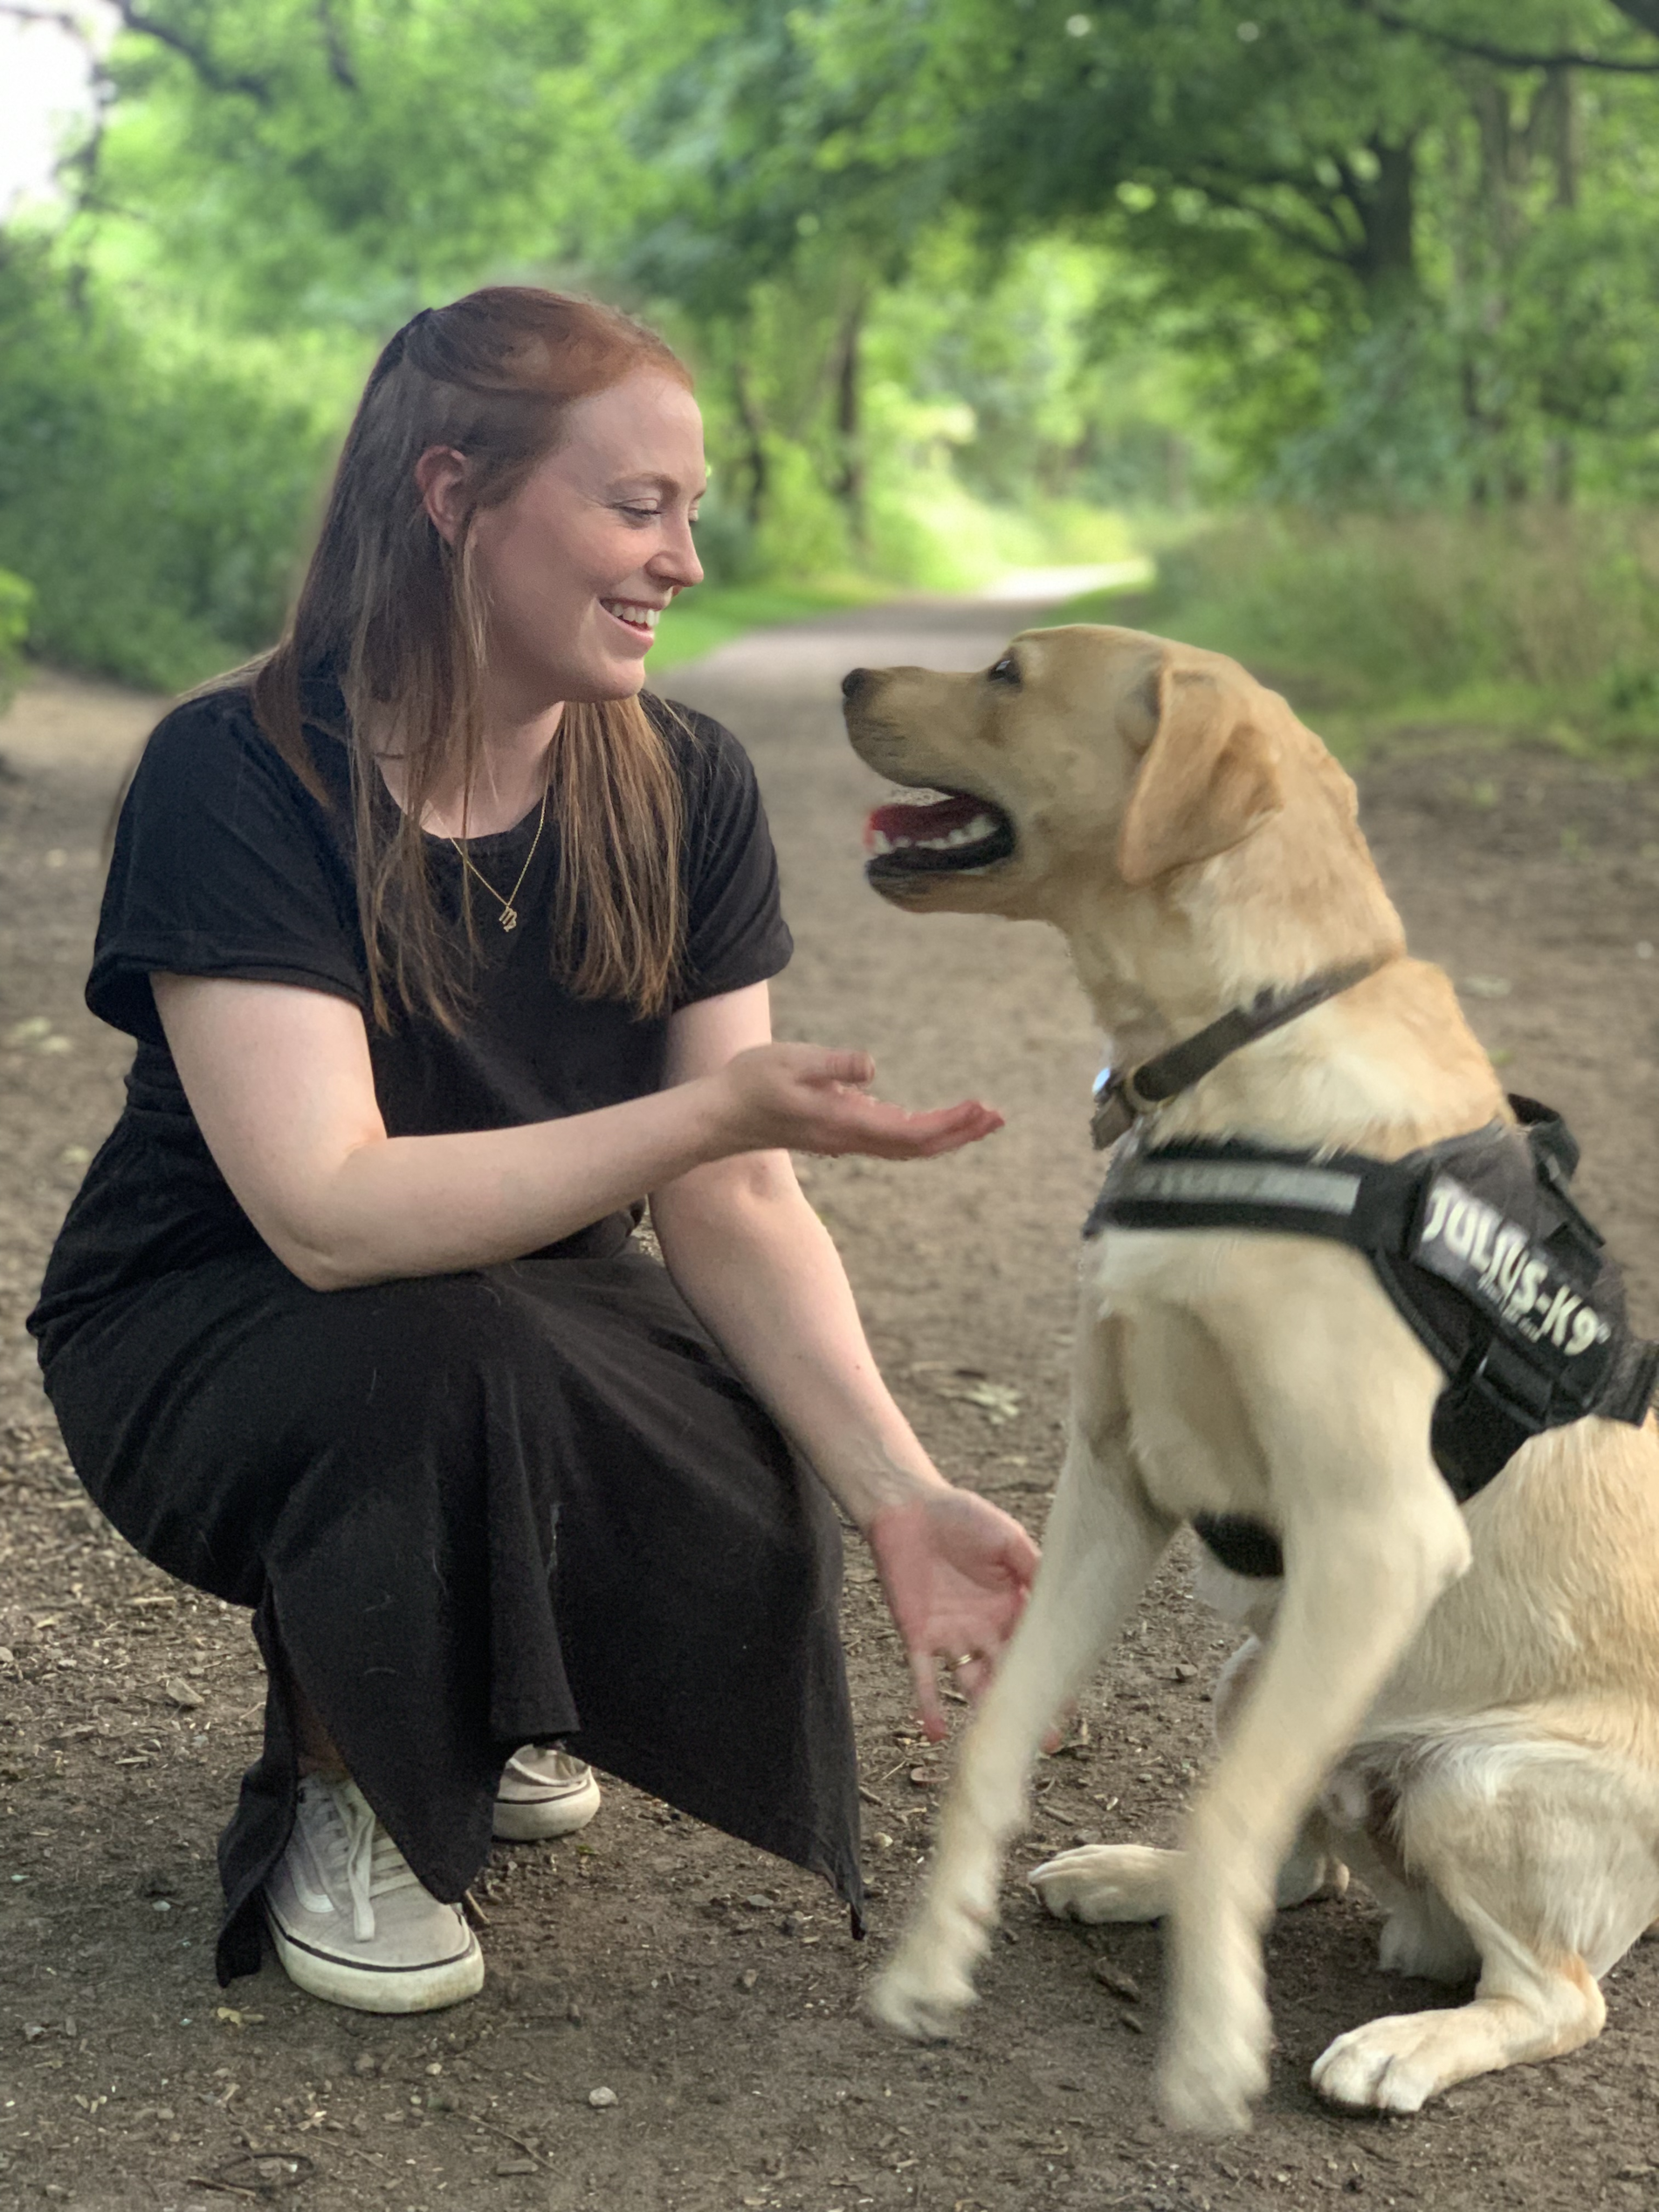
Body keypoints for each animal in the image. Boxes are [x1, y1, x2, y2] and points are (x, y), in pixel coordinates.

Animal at [844, 619, 1659, 2123]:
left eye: (1007, 672)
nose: (848, 680)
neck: (1243, 1049)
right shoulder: (1110, 1482)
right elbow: (999, 1736)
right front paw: (933, 1957)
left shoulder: (1378, 1535)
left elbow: (1226, 1808)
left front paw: (1214, 2046)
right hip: (1257, 1672)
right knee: (1299, 1859)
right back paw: (1132, 1878)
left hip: (1473, 1781)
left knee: (1549, 1995)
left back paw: (1402, 2045)